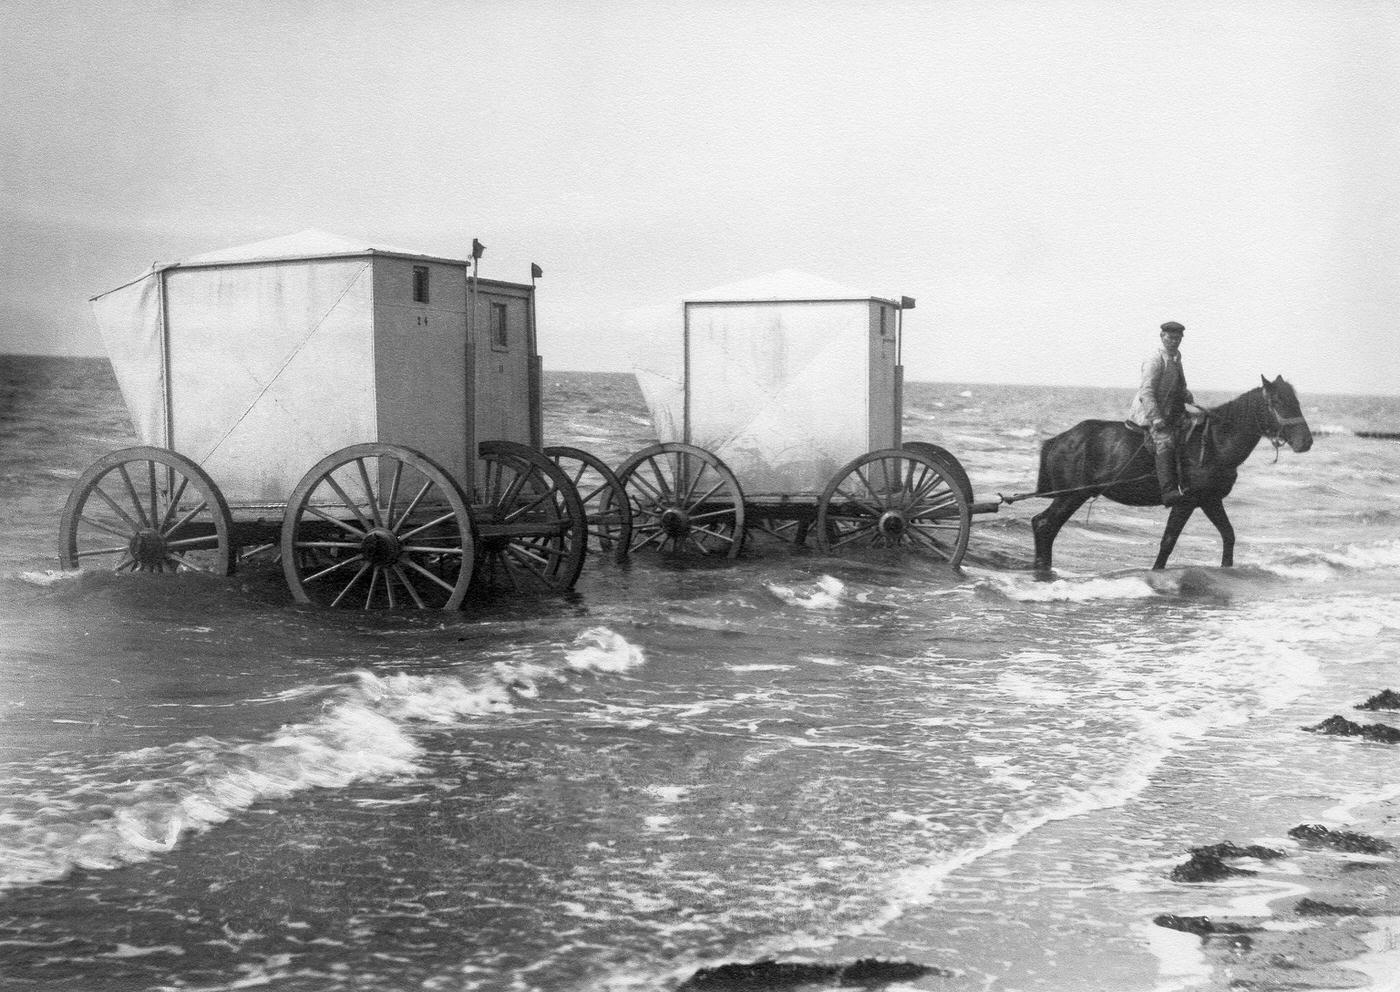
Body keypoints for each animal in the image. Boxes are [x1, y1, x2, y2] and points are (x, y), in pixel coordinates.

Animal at [1030, 372, 1310, 573]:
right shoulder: (1185, 502)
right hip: (1071, 495)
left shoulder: (1209, 500)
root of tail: (1058, 439)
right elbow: (1168, 541)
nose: (1306, 442)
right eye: (1277, 402)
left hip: (1071, 496)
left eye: (1297, 401)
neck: (1214, 443)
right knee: (1045, 525)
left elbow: (1228, 535)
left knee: (1044, 526)